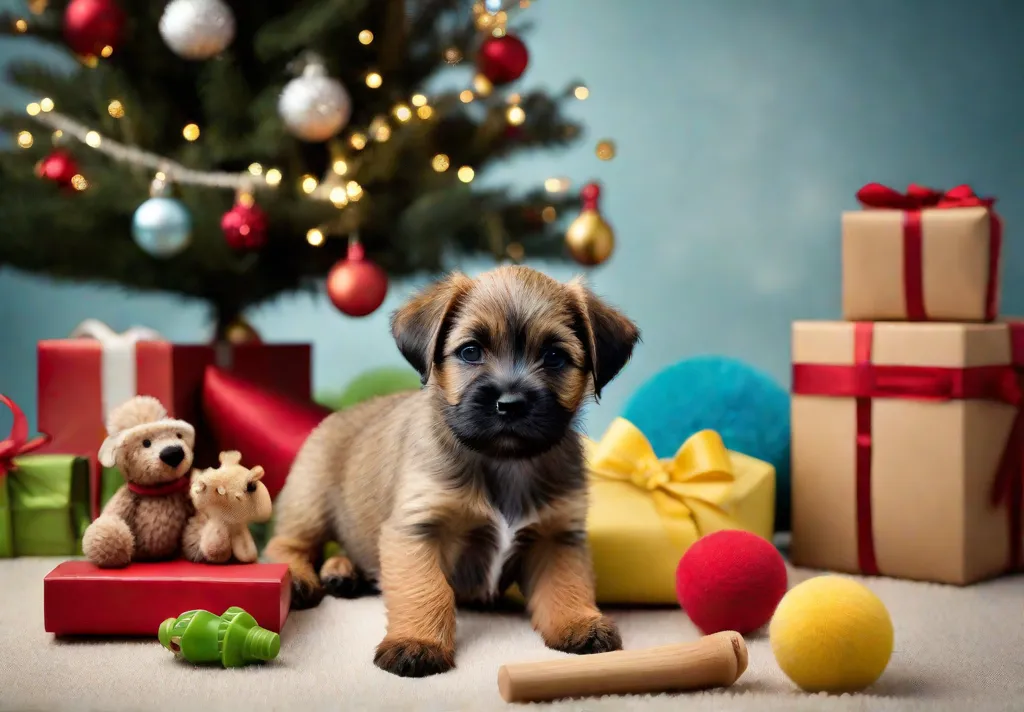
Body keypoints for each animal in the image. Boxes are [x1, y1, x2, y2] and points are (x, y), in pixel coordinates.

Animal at [268, 266, 643, 680]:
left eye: (554, 356)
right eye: (471, 351)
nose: (510, 404)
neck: (503, 463)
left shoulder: (556, 536)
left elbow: (567, 586)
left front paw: (579, 622)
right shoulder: (417, 530)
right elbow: (427, 590)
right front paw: (418, 642)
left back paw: (344, 570)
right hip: (310, 503)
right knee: (285, 544)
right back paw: (303, 578)